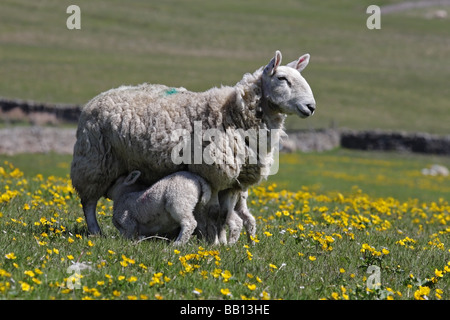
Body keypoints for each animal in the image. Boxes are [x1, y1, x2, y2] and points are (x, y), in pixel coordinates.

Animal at [71, 50, 316, 245]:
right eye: (282, 78)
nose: (311, 107)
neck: (232, 113)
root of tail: (100, 96)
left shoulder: (233, 181)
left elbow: (224, 213)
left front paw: (222, 242)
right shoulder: (212, 173)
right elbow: (215, 212)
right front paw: (216, 242)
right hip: (94, 160)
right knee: (89, 202)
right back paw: (95, 232)